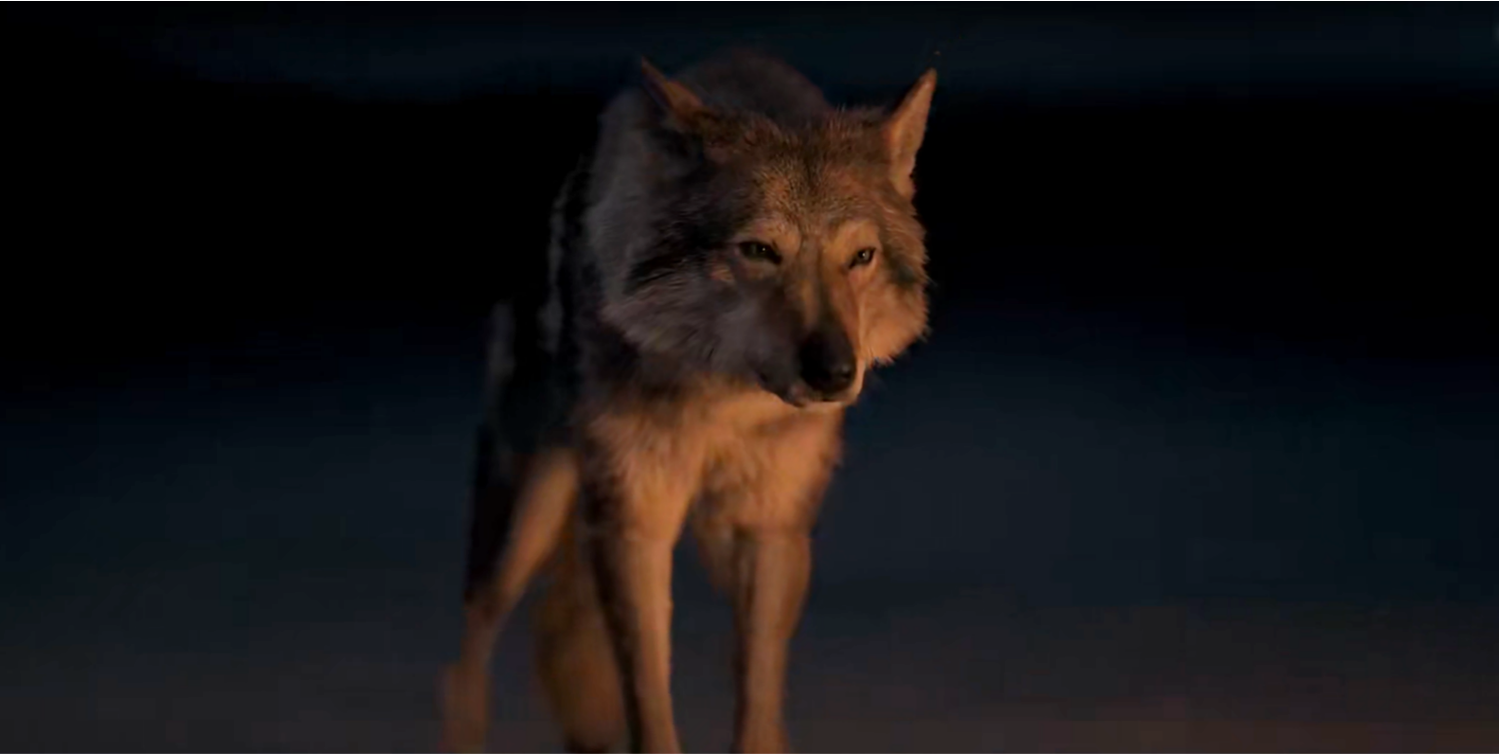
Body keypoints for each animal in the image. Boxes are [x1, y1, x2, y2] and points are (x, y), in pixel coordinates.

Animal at [439, 50, 937, 754]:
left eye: (859, 257)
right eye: (759, 251)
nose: (836, 372)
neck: (723, 397)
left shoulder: (768, 527)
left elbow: (757, 702)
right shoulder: (633, 519)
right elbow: (649, 703)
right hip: (522, 525)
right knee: (469, 655)